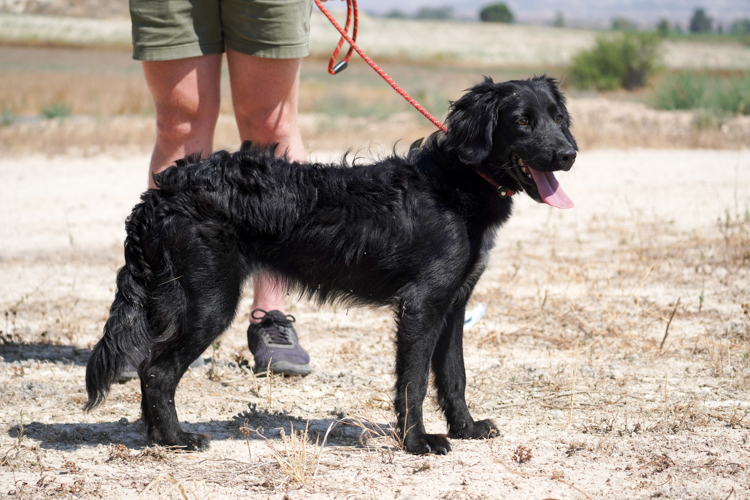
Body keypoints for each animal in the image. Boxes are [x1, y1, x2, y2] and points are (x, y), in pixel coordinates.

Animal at [89, 76, 580, 456]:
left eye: (558, 118)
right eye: (521, 121)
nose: (568, 155)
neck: (457, 181)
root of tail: (164, 190)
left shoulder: (454, 305)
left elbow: (453, 376)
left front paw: (467, 430)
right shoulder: (421, 305)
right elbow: (414, 381)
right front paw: (418, 442)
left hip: (175, 300)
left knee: (150, 366)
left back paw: (157, 438)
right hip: (210, 302)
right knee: (158, 371)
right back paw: (178, 439)